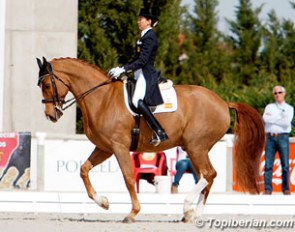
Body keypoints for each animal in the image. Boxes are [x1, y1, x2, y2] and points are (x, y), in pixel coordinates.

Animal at [37, 56, 266, 223]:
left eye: (47, 84)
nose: (51, 115)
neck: (102, 99)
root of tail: (223, 102)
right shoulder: (105, 148)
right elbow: (83, 170)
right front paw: (103, 202)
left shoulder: (118, 147)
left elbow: (128, 178)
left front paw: (132, 213)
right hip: (195, 149)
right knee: (206, 177)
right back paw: (193, 214)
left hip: (196, 146)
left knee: (209, 174)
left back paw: (187, 206)